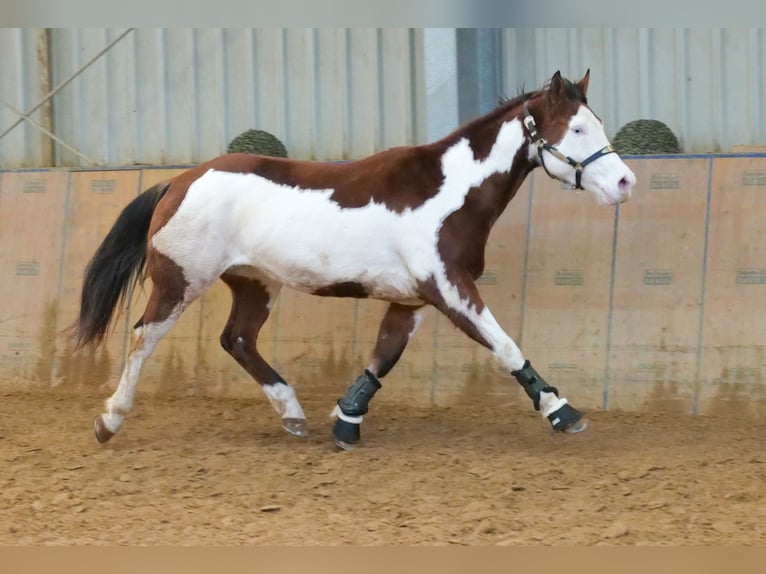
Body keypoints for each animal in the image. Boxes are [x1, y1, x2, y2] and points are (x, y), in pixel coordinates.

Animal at [72, 71, 636, 450]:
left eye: (596, 122)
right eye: (577, 129)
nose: (625, 182)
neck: (449, 191)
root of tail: (179, 181)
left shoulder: (412, 299)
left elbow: (382, 357)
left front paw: (346, 421)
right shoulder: (449, 288)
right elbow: (505, 346)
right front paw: (562, 412)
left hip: (255, 282)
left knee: (237, 340)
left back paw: (292, 414)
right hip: (180, 281)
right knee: (144, 337)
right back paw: (108, 420)